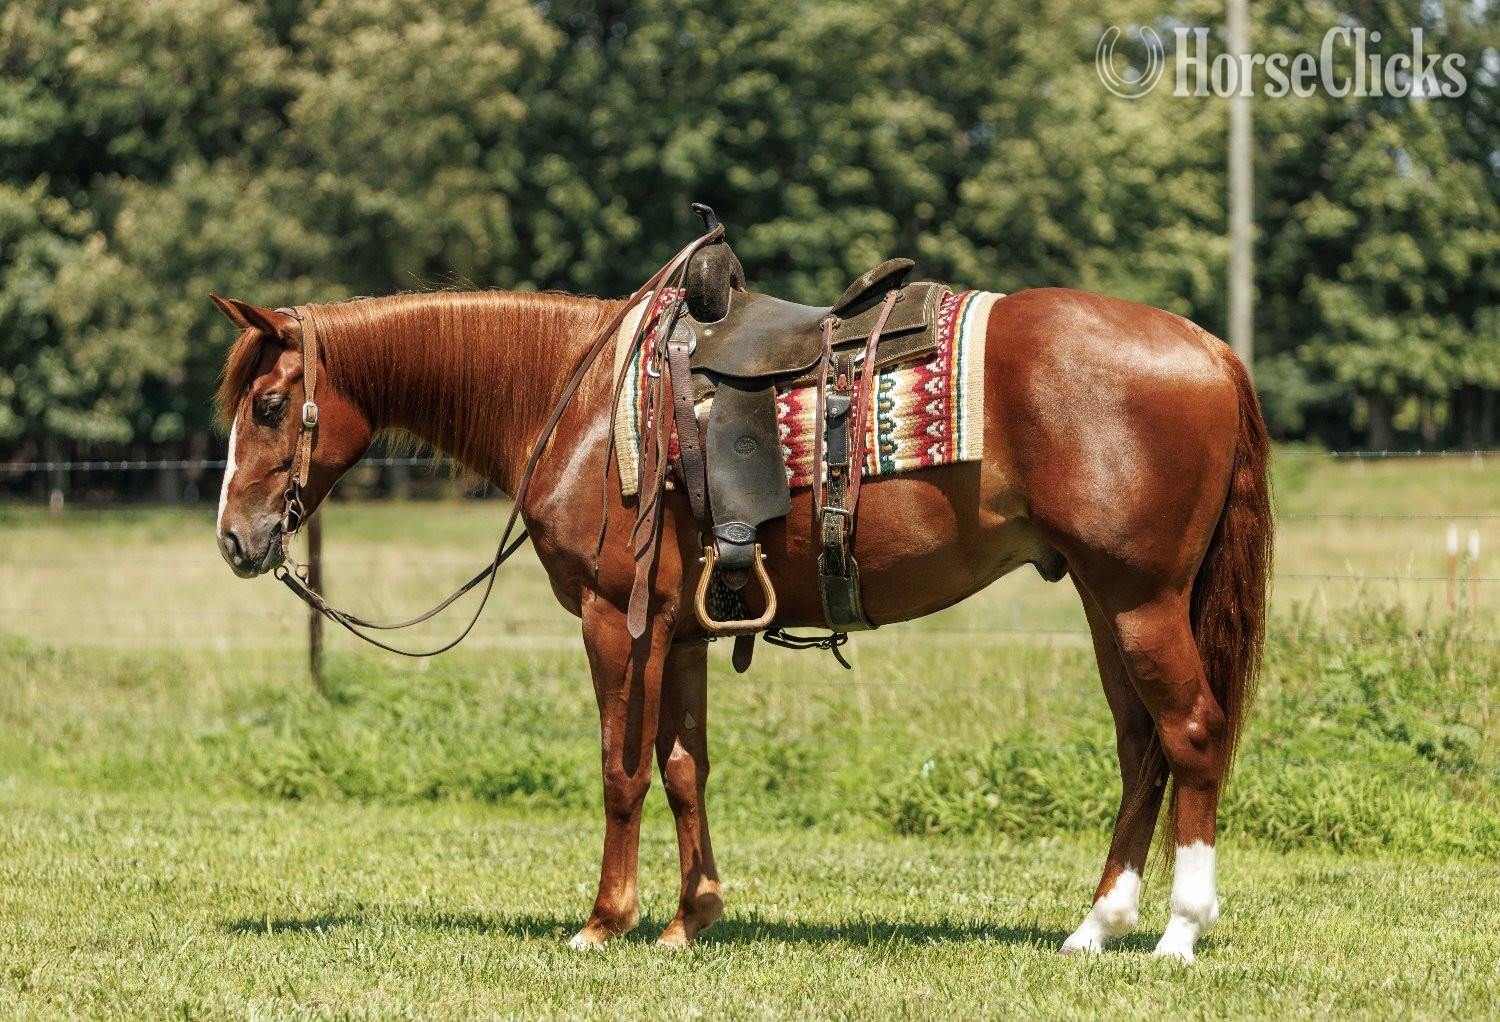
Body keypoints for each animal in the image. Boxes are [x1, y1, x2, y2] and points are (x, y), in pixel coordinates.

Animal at [211, 273, 1271, 962]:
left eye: (268, 404)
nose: (234, 539)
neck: (581, 400)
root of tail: (1211, 348)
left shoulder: (616, 621)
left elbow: (622, 770)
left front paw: (605, 921)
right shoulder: (681, 633)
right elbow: (686, 770)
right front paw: (692, 919)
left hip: (1139, 599)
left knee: (1191, 733)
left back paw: (1180, 931)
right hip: (1103, 599)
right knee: (1140, 748)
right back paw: (1095, 927)